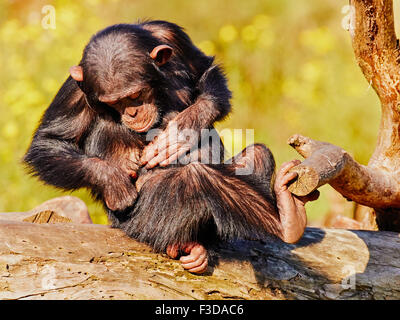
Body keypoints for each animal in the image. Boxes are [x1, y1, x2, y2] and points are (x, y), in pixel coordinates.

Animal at [25, 20, 318, 272]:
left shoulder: (172, 35)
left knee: (256, 155)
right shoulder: (76, 89)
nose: (132, 112)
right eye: (114, 102)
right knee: (196, 177)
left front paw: (185, 126)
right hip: (144, 222)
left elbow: (205, 70)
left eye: (135, 94)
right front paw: (113, 180)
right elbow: (48, 141)